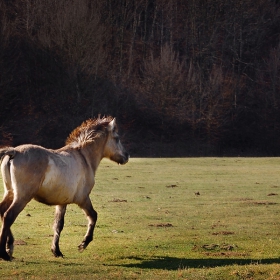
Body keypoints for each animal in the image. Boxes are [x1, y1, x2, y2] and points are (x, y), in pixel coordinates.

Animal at [0, 116, 130, 260]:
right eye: (117, 138)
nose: (127, 156)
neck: (84, 158)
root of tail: (14, 151)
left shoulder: (62, 203)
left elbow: (58, 225)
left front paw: (56, 250)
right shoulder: (83, 199)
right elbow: (93, 216)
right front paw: (84, 243)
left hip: (10, 193)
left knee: (2, 212)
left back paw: (10, 246)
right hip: (22, 197)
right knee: (8, 216)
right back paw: (5, 253)